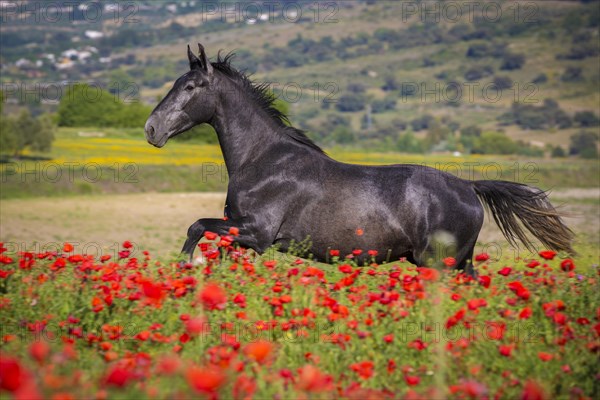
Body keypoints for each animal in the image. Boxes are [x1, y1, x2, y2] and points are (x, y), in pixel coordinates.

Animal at [144, 44, 572, 272]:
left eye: (191, 86)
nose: (151, 129)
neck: (264, 161)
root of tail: (469, 187)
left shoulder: (258, 231)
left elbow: (196, 226)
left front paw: (185, 266)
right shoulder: (241, 234)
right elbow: (216, 248)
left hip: (439, 262)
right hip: (453, 263)